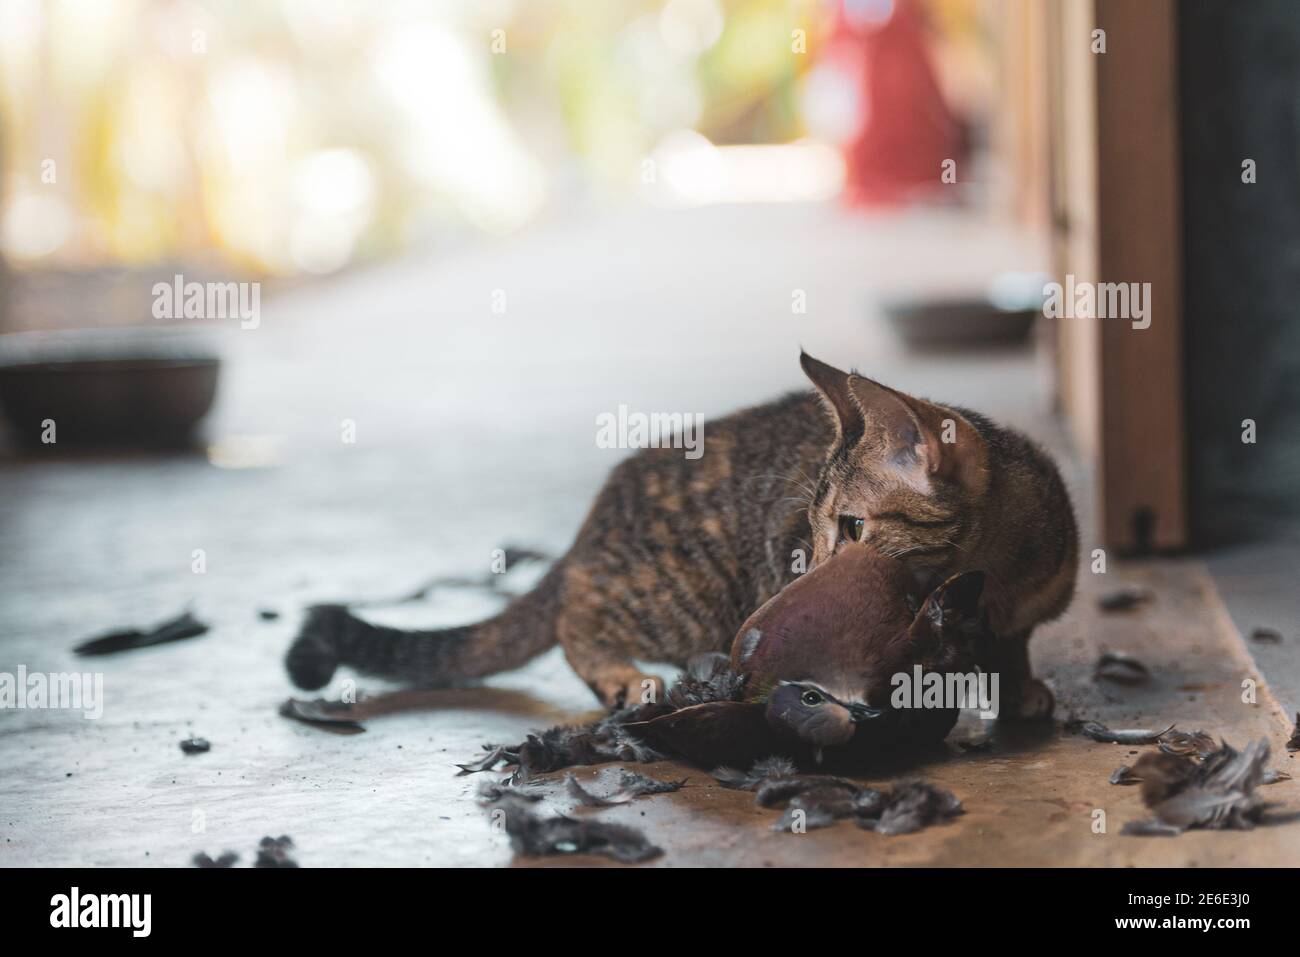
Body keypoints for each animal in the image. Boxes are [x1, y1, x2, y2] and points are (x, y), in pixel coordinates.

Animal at [287, 351, 1076, 717]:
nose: (812, 566)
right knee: (577, 614)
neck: (991, 579)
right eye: (812, 533)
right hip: (678, 595)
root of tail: (591, 520)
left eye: (853, 527)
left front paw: (1019, 683)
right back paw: (618, 674)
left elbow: (1015, 646)